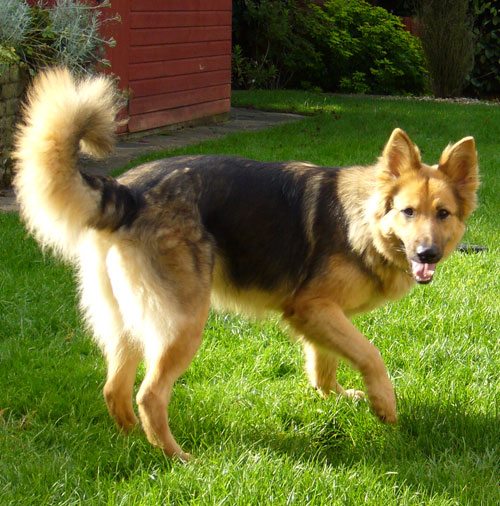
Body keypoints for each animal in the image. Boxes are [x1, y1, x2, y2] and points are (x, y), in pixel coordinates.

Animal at [13, 68, 478, 462]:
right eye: (407, 211)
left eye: (442, 214)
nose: (427, 254)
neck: (363, 220)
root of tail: (127, 192)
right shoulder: (314, 307)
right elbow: (370, 353)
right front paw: (384, 405)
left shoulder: (317, 314)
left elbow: (324, 363)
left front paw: (334, 396)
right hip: (184, 323)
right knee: (149, 394)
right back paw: (176, 457)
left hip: (128, 322)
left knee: (114, 388)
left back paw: (135, 443)